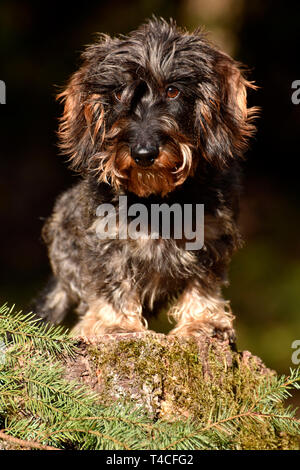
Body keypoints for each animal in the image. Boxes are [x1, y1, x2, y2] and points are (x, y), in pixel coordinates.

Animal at [34, 18, 256, 340]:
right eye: (118, 94)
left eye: (173, 91)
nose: (143, 153)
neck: (158, 199)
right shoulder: (108, 240)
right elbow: (113, 283)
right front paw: (116, 324)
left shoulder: (210, 239)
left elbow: (203, 283)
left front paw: (203, 321)